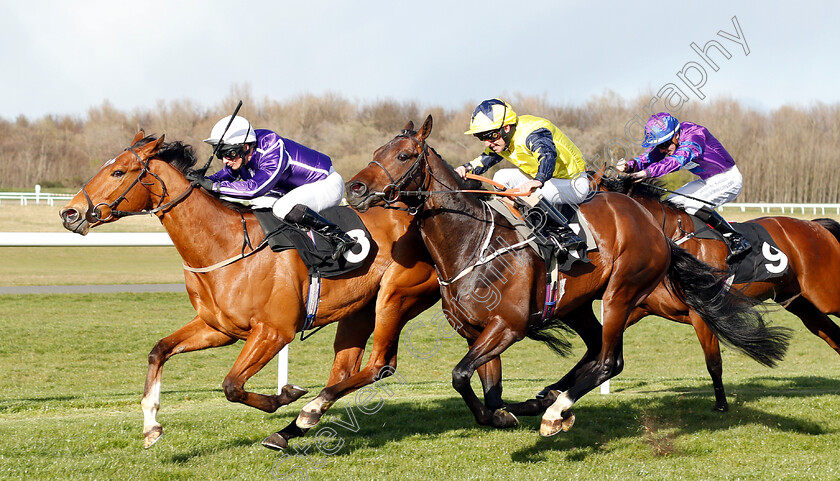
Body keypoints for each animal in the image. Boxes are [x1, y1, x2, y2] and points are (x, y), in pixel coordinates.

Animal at [58, 129, 440, 448]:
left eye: (119, 172)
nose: (69, 213)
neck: (225, 245)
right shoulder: (219, 328)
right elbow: (159, 351)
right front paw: (151, 426)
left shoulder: (274, 331)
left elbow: (232, 385)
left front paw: (283, 396)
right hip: (358, 309)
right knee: (344, 370)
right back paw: (298, 424)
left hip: (395, 297)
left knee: (380, 365)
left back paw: (306, 412)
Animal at [344, 116, 792, 436]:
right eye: (376, 149)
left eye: (404, 156)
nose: (355, 189)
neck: (471, 241)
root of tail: (656, 227)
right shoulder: (477, 332)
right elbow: (484, 387)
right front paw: (504, 414)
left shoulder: (509, 325)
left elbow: (459, 375)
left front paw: (511, 414)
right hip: (577, 305)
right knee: (594, 349)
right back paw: (544, 399)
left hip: (621, 292)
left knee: (610, 361)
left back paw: (555, 410)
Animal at [596, 171, 840, 410]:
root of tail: (817, 227)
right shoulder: (637, 307)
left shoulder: (702, 314)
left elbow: (713, 363)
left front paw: (721, 403)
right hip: (801, 303)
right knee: (832, 334)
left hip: (826, 295)